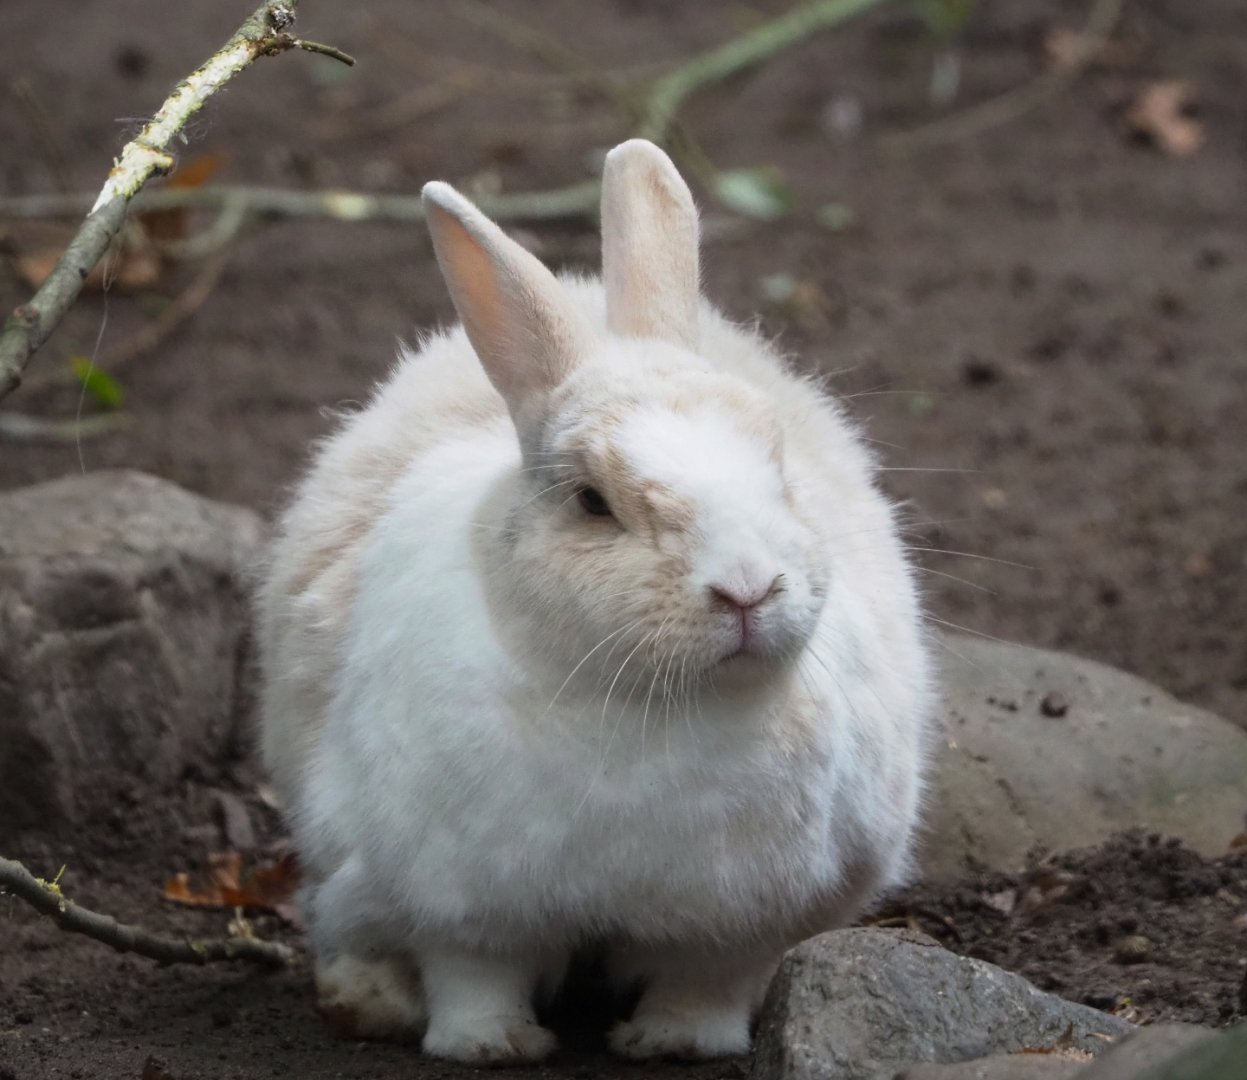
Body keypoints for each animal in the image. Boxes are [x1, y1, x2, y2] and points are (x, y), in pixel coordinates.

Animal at [256, 138, 932, 1065]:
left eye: (778, 463)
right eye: (591, 502)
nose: (747, 588)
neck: (651, 703)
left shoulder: (738, 922)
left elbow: (706, 982)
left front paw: (678, 1044)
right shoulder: (459, 899)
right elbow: (472, 973)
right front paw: (492, 1047)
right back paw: (368, 1002)